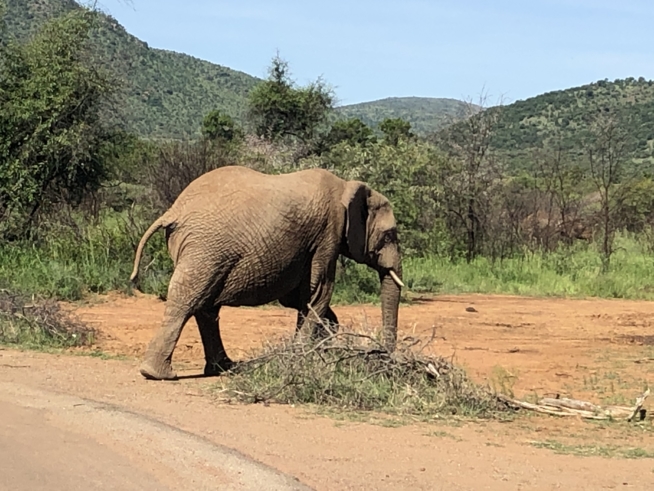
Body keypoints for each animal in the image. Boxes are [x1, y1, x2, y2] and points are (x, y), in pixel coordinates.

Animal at [129, 165, 404, 380]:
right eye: (390, 234)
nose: (385, 359)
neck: (346, 186)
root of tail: (173, 211)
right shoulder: (329, 232)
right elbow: (317, 292)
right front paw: (302, 357)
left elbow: (297, 297)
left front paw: (325, 338)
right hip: (206, 247)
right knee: (188, 300)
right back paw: (158, 374)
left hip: (203, 249)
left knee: (206, 306)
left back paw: (224, 368)